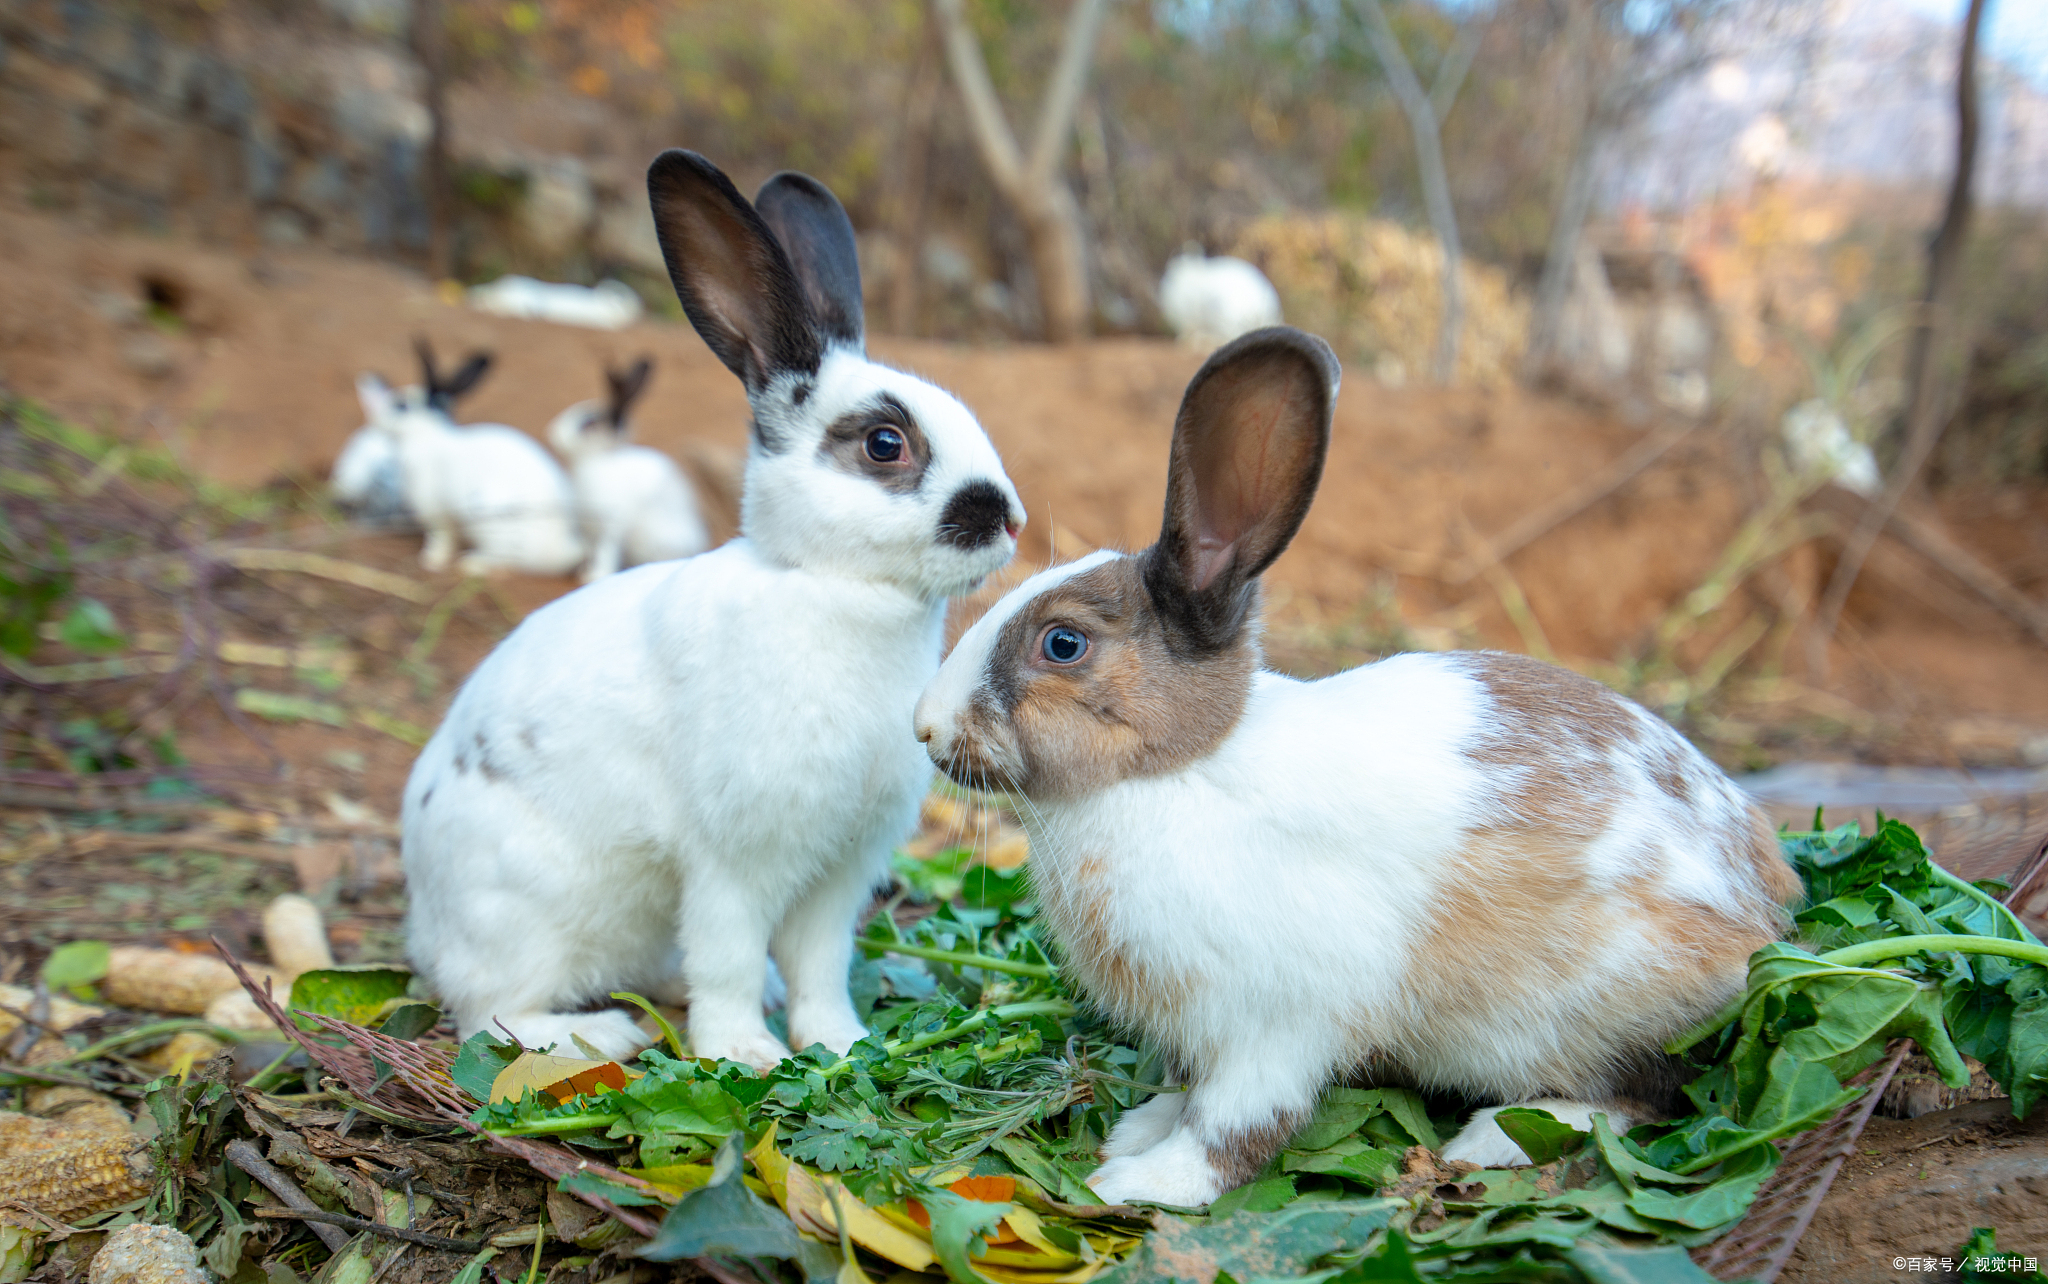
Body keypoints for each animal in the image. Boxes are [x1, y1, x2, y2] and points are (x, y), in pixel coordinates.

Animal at [544, 358, 712, 585]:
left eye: (588, 424)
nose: (551, 433)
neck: (595, 460)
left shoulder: (611, 526)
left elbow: (607, 552)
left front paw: (595, 577)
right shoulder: (592, 531)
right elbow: (594, 551)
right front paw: (586, 571)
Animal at [913, 325, 1794, 1212]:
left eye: (1063, 644)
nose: (925, 728)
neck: (1178, 771)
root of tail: (1766, 908)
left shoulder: (1272, 1028)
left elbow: (1233, 1125)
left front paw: (1140, 1180)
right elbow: (1184, 1091)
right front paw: (1138, 1131)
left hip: (1594, 1009)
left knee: (1649, 1094)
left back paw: (1496, 1137)